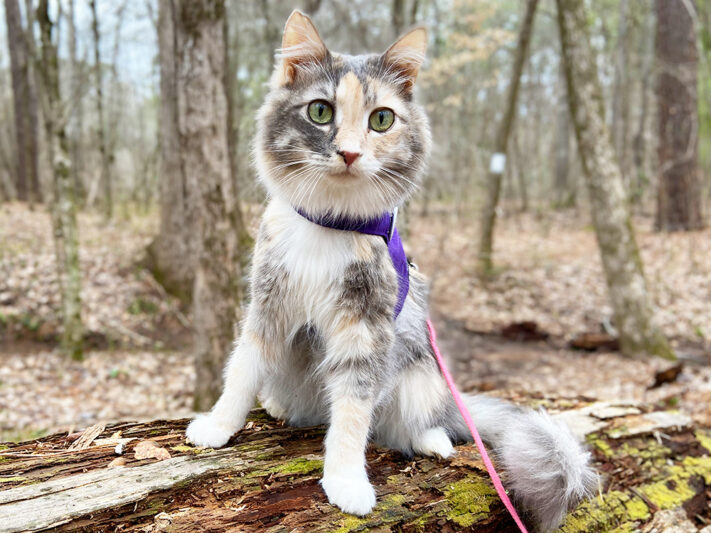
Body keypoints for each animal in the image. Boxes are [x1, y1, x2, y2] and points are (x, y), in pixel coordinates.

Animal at [186, 10, 596, 528]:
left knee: (410, 425)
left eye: (381, 120)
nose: (349, 153)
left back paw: (434, 439)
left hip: (420, 375)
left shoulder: (367, 328)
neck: (332, 224)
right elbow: (241, 373)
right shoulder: (268, 306)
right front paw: (218, 427)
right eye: (320, 112)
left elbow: (352, 415)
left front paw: (346, 481)